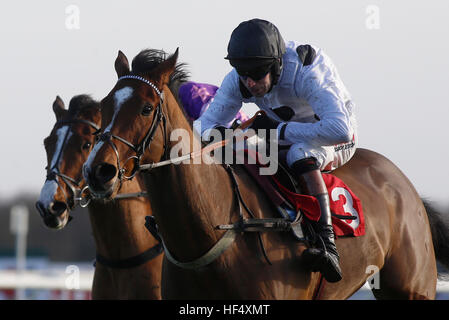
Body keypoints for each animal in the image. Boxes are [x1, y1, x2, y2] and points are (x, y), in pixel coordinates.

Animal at [83, 48, 448, 300]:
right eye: (104, 105)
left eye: (146, 108)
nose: (98, 170)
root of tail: (406, 187)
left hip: (411, 287)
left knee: (306, 155)